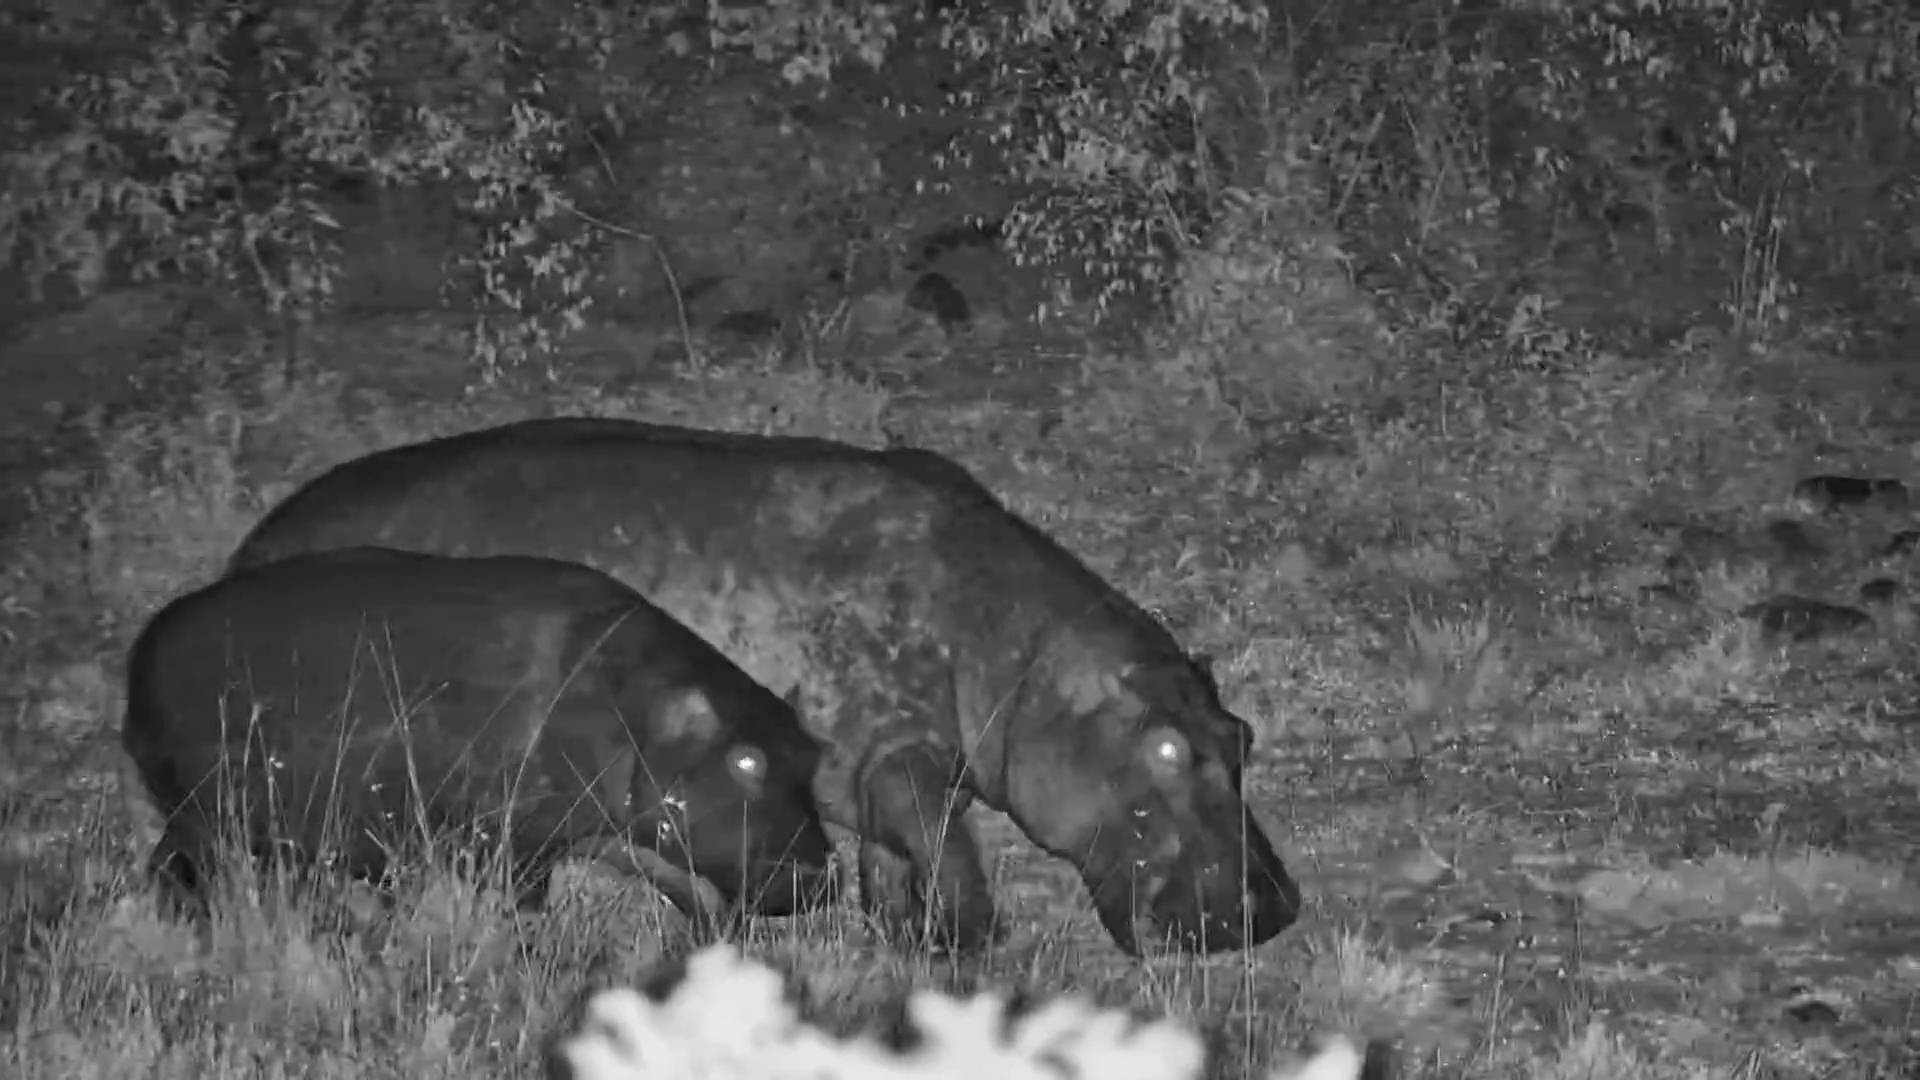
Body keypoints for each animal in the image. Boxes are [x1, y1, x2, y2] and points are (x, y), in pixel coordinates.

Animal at [122, 546, 836, 920]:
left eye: (814, 752)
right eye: (746, 762)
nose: (824, 873)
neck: (638, 706)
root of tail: (148, 644)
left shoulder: (614, 833)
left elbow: (683, 888)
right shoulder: (517, 837)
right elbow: (527, 899)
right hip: (207, 813)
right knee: (180, 868)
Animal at [227, 420, 1302, 954]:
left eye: (1242, 735)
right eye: (1166, 747)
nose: (1277, 907)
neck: (1020, 657)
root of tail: (250, 549)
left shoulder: (878, 777)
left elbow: (897, 871)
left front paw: (903, 941)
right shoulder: (901, 758)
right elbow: (953, 861)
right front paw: (968, 951)